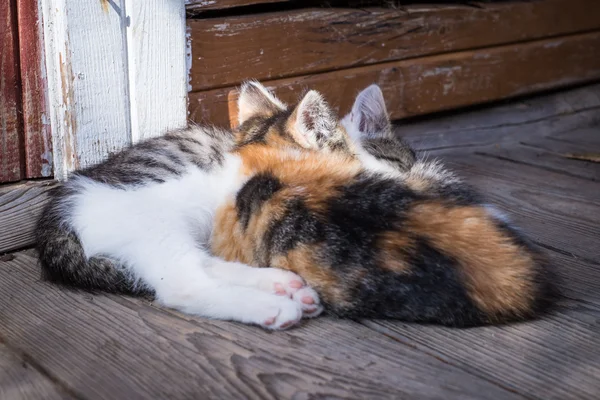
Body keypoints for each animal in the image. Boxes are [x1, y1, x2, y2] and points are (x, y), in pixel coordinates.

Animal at [36, 80, 342, 328]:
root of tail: (59, 212)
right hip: (155, 223)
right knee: (185, 285)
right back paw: (272, 306)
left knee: (202, 263)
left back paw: (283, 284)